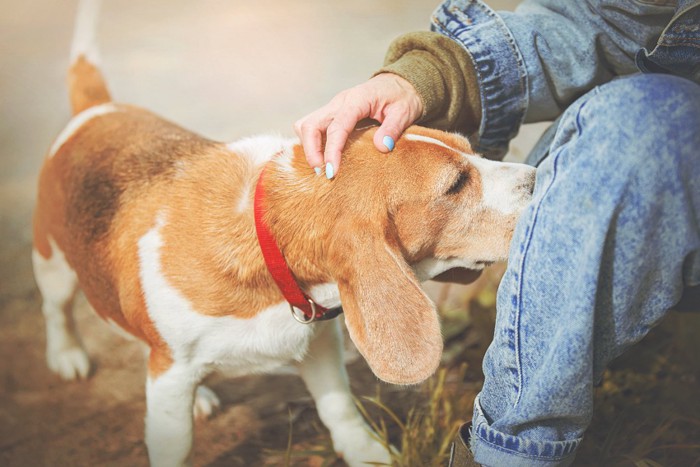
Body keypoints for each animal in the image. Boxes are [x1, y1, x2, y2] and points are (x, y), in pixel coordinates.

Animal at [31, 1, 536, 466]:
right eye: (455, 184)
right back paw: (67, 355)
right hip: (53, 265)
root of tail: (97, 109)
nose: (539, 177)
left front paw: (365, 452)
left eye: (471, 150)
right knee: (58, 312)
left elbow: (339, 409)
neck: (265, 240)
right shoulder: (173, 375)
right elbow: (173, 444)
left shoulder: (319, 345)